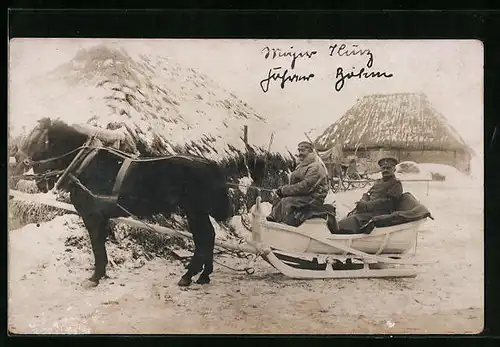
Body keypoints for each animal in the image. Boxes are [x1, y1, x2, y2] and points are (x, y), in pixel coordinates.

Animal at [12, 119, 232, 288]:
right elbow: (101, 247)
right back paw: (203, 275)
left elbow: (97, 248)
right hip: (197, 212)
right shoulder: (102, 218)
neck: (88, 165)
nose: (17, 160)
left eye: (34, 138)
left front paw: (95, 277)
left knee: (204, 238)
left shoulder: (92, 217)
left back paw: (189, 275)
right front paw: (101, 274)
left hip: (195, 211)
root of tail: (210, 165)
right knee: (208, 237)